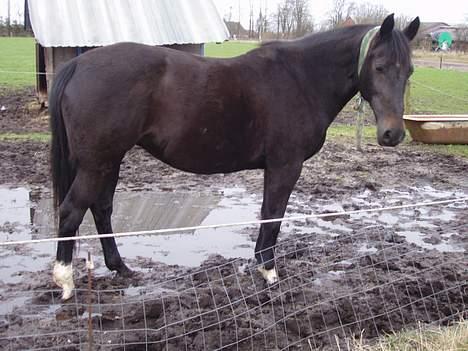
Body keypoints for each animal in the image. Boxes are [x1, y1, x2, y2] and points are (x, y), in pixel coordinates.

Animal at [49, 14, 418, 300]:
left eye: (410, 71)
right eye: (380, 66)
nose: (393, 134)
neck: (301, 77)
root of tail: (79, 63)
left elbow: (269, 215)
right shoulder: (285, 165)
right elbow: (272, 215)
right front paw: (268, 272)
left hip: (109, 161)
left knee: (101, 209)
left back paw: (121, 268)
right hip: (97, 164)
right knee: (71, 211)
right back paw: (65, 282)